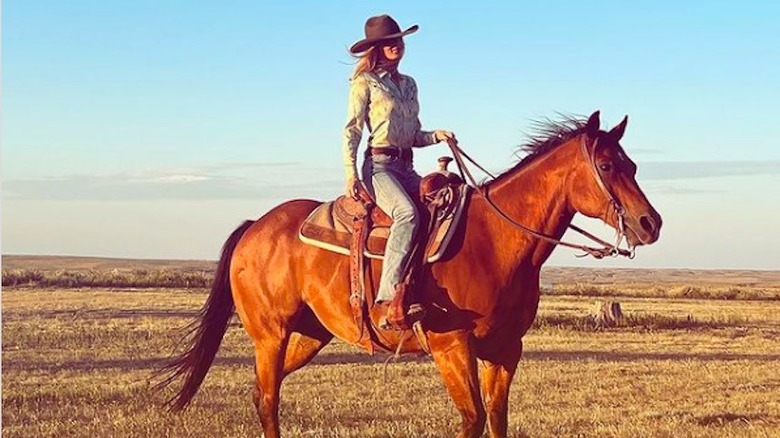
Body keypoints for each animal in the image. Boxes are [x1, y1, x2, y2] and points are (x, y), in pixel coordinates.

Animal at [160, 112, 664, 438]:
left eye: (634, 164)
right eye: (606, 165)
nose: (650, 224)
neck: (496, 241)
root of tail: (255, 227)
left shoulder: (505, 351)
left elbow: (496, 420)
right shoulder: (451, 347)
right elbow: (472, 420)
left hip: (308, 335)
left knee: (262, 392)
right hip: (271, 334)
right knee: (267, 399)